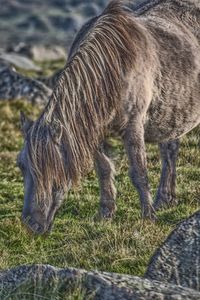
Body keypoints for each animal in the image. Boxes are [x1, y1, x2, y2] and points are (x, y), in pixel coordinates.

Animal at [17, 0, 200, 234]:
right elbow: (103, 170)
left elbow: (139, 172)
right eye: (21, 165)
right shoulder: (94, 131)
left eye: (52, 166)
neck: (113, 68)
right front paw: (105, 214)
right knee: (170, 151)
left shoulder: (133, 127)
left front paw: (148, 216)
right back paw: (165, 199)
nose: (31, 224)